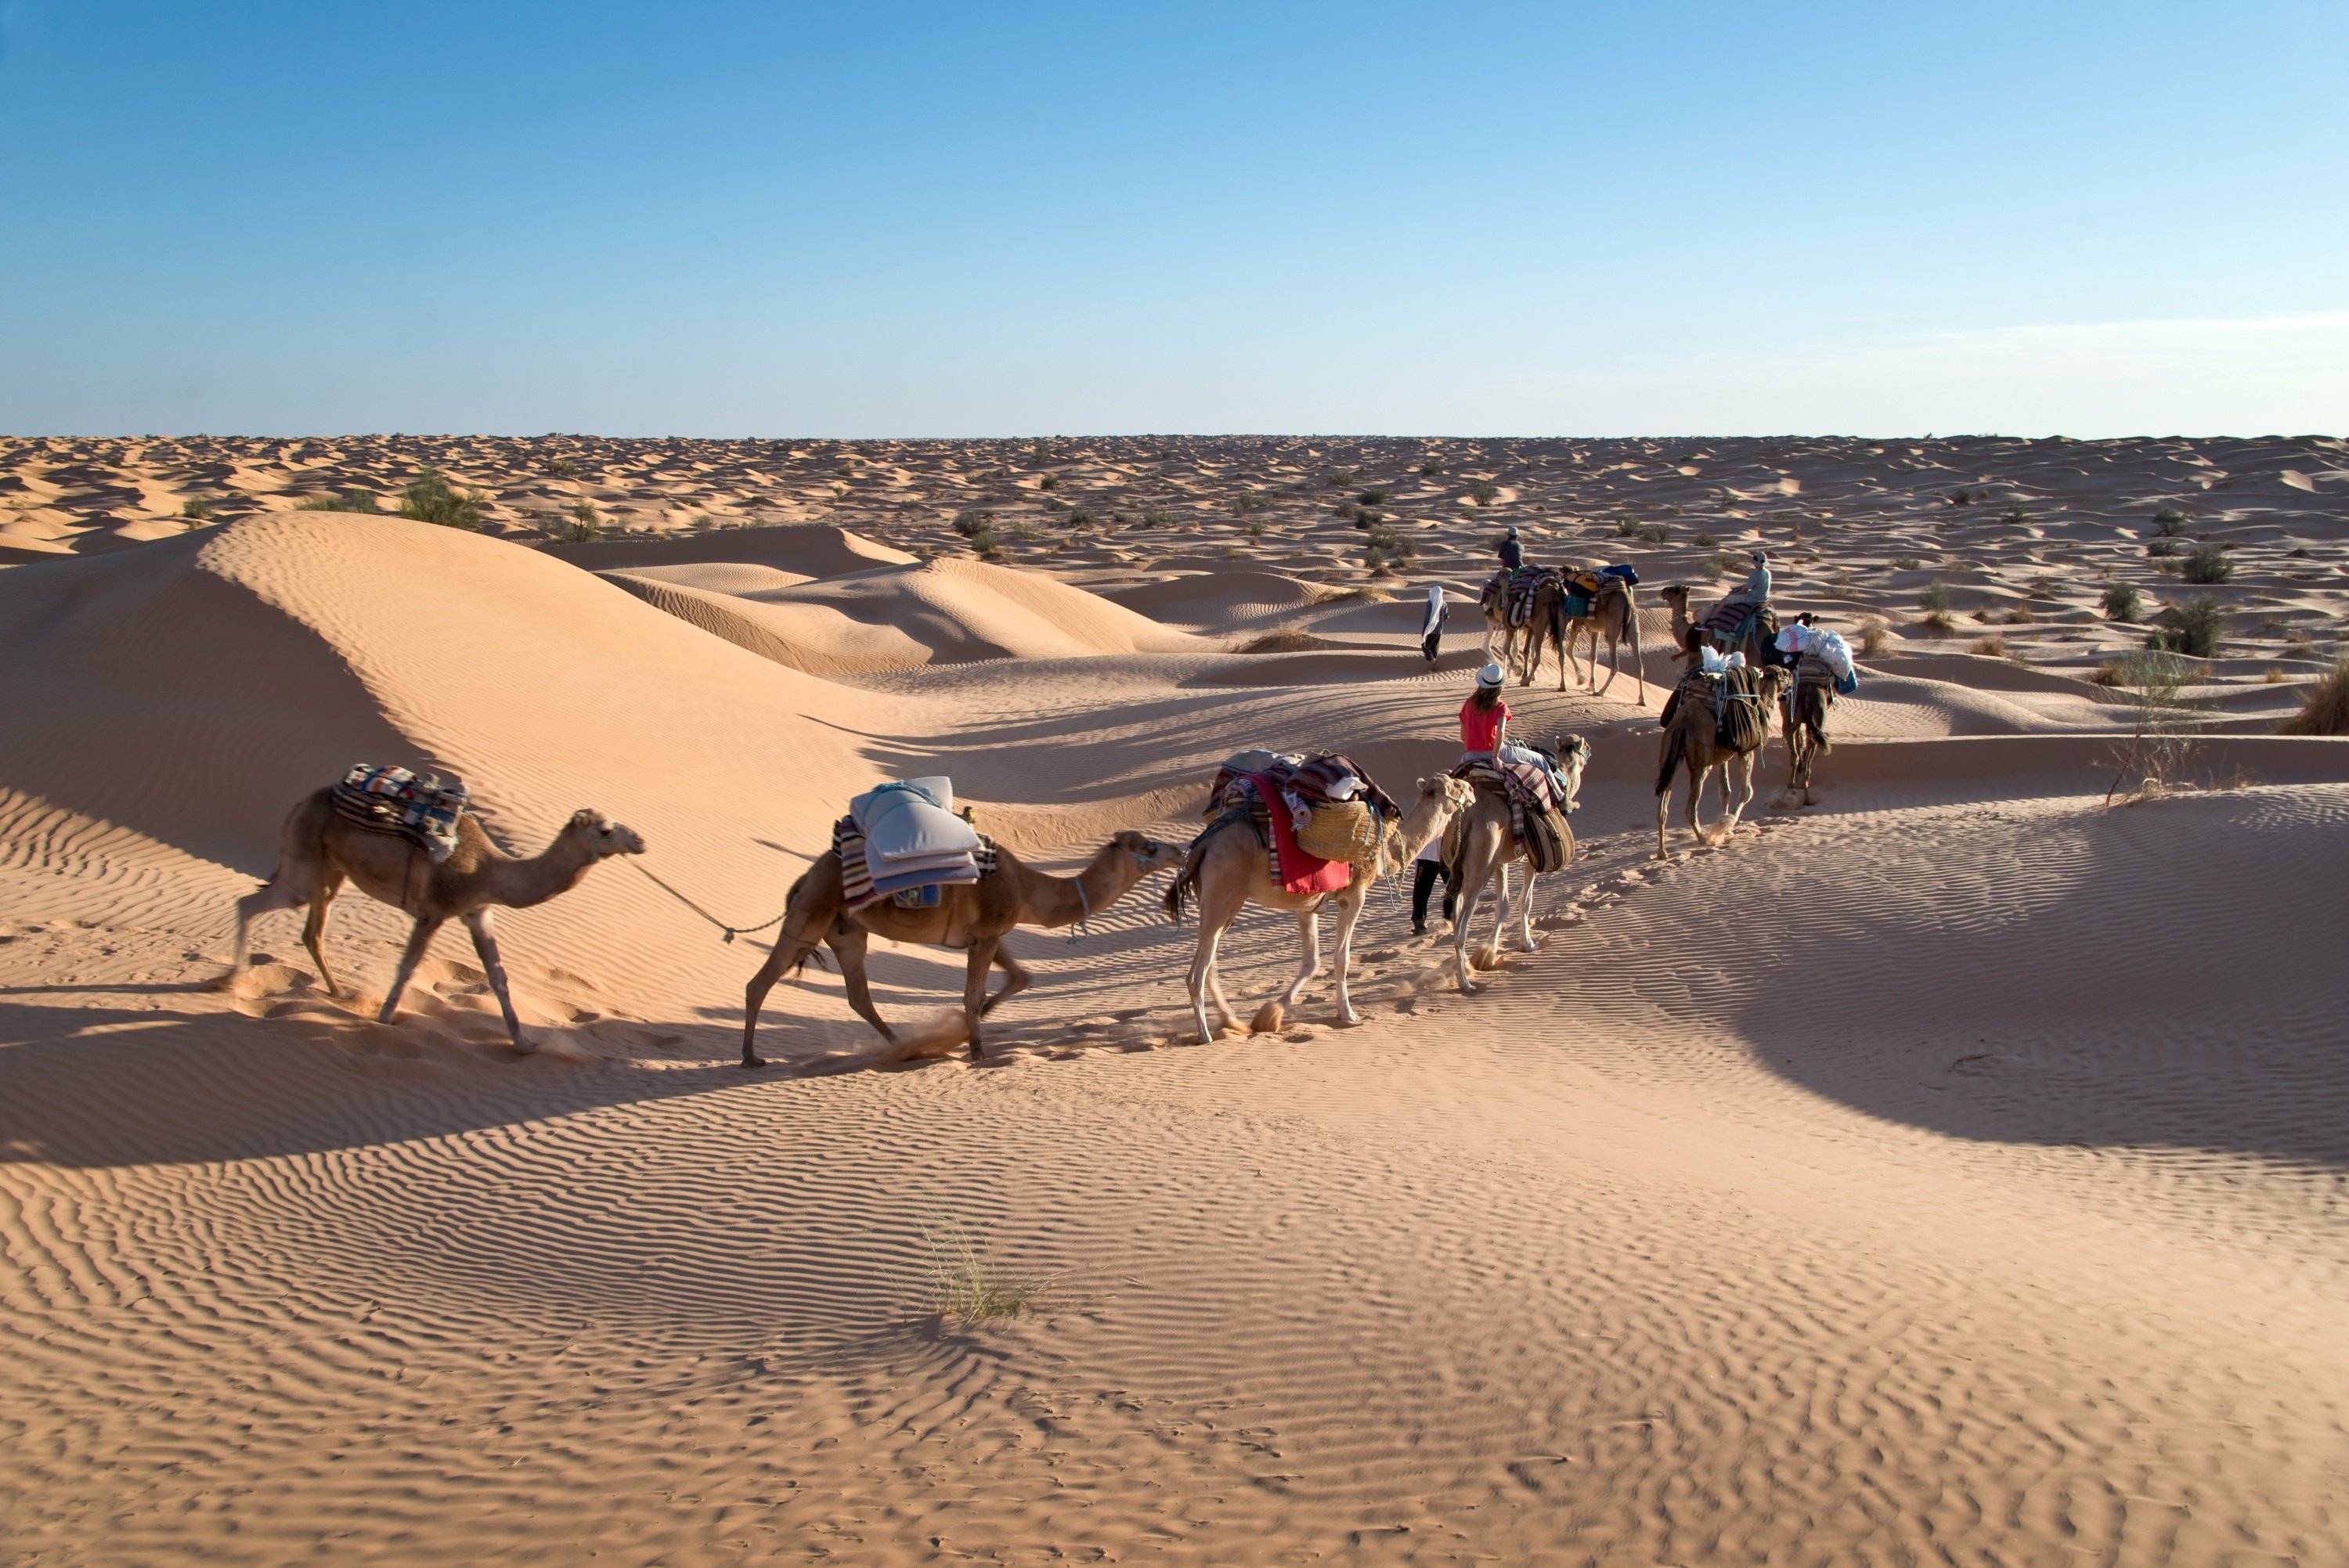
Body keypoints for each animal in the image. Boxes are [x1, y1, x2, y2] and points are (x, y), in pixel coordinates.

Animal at [226, 784, 648, 1051]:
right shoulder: (434, 911)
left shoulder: (478, 914)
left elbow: (498, 976)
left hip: (331, 872)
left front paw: (524, 1042)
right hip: (305, 860)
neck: (487, 870)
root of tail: (300, 804)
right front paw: (385, 1018)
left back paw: (339, 992)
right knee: (250, 904)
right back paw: (231, 980)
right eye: (605, 829)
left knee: (312, 931)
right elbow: (409, 967)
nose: (641, 840)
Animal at [747, 831, 1184, 1065]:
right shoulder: (987, 932)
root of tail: (805, 877)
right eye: (1148, 846)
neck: (1028, 889)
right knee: (762, 981)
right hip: (811, 913)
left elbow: (1020, 977)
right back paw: (751, 1057)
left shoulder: (989, 934)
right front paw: (976, 1050)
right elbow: (974, 994)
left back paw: (903, 1046)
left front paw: (962, 1030)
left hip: (847, 931)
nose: (1180, 850)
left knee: (858, 995)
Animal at [1160, 779, 1466, 1047]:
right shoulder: (1353, 897)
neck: (1383, 851)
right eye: (1455, 786)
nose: (1471, 789)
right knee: (1196, 973)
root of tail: (1204, 845)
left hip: (1222, 901)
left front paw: (1270, 1014)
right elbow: (1341, 958)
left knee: (1210, 963)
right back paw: (1205, 1035)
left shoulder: (1308, 905)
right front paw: (1348, 1014)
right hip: (1222, 894)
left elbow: (1312, 961)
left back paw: (1231, 1022)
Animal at [1447, 737, 1597, 990]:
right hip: (1480, 865)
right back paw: (1465, 982)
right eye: (1583, 745)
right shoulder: (1533, 857)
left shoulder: (1500, 861)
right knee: (1461, 928)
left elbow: (1503, 905)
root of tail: (1466, 815)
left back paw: (1463, 970)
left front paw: (1487, 954)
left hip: (1457, 867)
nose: (1591, 750)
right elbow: (1524, 901)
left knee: (1455, 914)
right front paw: (1527, 944)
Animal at [1663, 661, 1785, 859]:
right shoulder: (1746, 751)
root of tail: (1683, 721)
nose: (1791, 675)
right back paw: (1703, 839)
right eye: (1784, 674)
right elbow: (1747, 792)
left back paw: (1662, 852)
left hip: (1671, 754)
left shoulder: (1723, 755)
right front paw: (1725, 824)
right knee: (1690, 806)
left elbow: (1725, 791)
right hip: (1701, 761)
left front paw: (1724, 824)